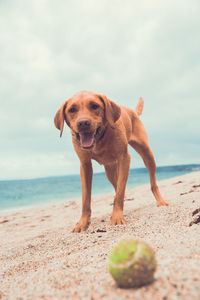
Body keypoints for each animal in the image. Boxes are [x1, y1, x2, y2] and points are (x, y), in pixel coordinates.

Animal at [53, 91, 169, 232]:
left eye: (94, 106)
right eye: (72, 110)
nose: (83, 123)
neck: (100, 138)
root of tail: (132, 111)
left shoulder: (124, 158)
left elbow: (120, 193)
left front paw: (117, 217)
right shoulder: (85, 165)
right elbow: (86, 199)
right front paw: (82, 223)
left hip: (147, 154)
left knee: (151, 183)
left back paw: (160, 201)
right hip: (110, 169)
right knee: (116, 185)